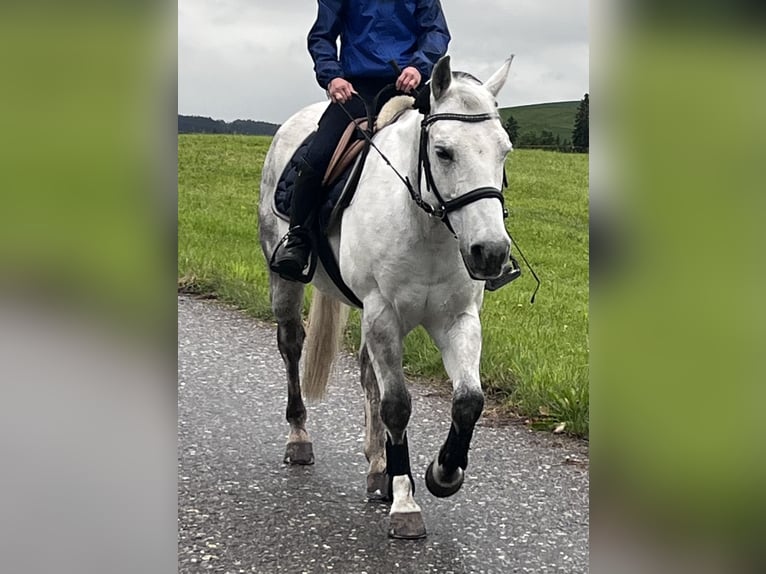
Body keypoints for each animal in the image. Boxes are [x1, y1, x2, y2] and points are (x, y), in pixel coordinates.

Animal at [258, 55, 515, 539]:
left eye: (504, 151)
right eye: (444, 151)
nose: (490, 252)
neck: (426, 225)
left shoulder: (457, 319)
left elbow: (468, 400)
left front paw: (443, 473)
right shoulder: (383, 314)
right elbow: (397, 405)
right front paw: (405, 501)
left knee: (367, 375)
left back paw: (378, 467)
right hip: (286, 283)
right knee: (291, 345)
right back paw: (300, 438)